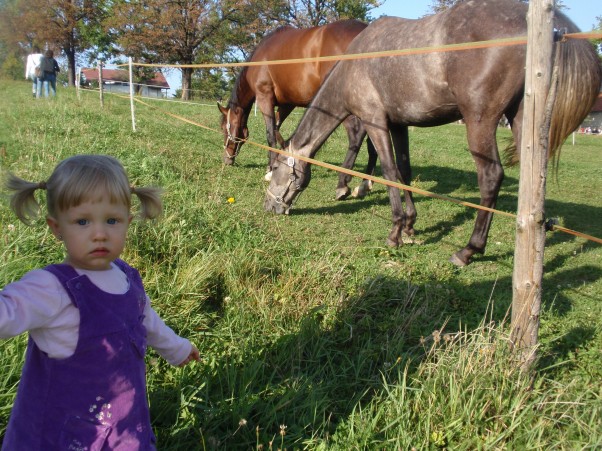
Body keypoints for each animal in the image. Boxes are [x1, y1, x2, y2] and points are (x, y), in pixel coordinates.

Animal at [216, 19, 376, 200]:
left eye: (224, 128)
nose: (227, 159)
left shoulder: (264, 97)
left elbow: (270, 134)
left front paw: (270, 171)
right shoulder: (287, 104)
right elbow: (277, 129)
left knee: (356, 134)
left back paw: (342, 185)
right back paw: (364, 185)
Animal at [262, 0, 600, 266]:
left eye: (276, 169)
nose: (270, 207)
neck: (353, 65)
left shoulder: (374, 121)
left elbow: (388, 171)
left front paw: (395, 231)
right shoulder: (399, 125)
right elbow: (404, 170)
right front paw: (411, 226)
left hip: (480, 121)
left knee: (491, 177)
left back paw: (468, 251)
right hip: (519, 121)